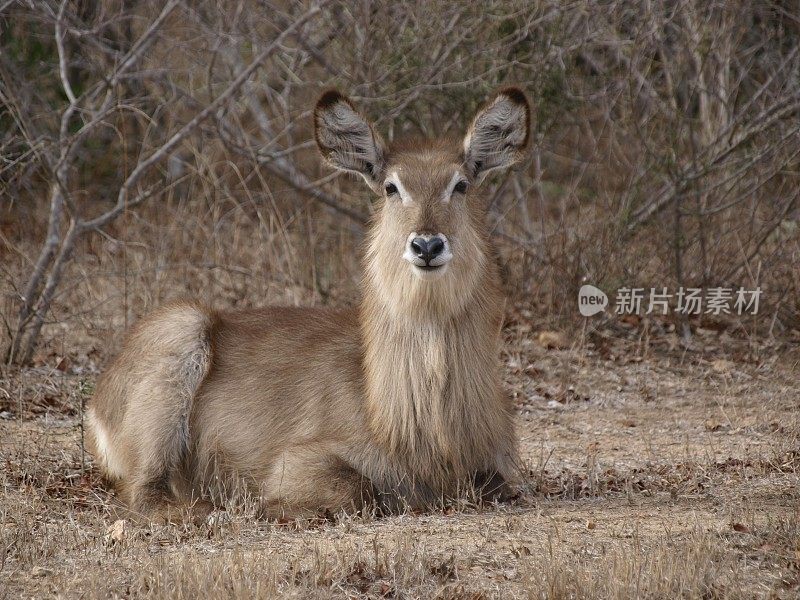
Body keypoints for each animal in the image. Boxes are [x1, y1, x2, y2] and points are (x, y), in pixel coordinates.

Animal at [87, 85, 532, 520]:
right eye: (391, 187)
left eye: (461, 185)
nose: (426, 245)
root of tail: (98, 402)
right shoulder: (297, 459)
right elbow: (358, 489)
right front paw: (265, 505)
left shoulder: (496, 470)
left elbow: (497, 485)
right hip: (181, 327)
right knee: (145, 495)